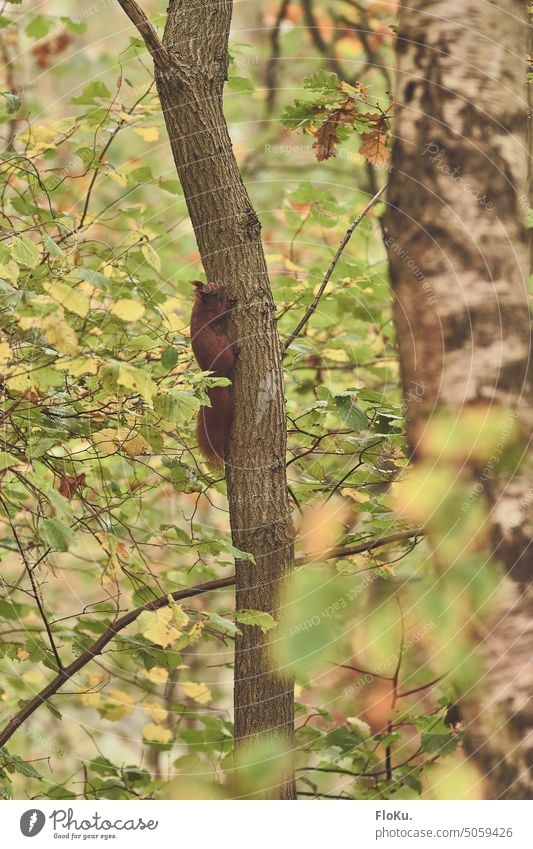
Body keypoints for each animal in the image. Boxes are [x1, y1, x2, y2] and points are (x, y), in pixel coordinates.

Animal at [188, 282, 236, 468]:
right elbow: (220, 313)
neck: (200, 306)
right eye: (214, 293)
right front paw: (230, 303)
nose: (224, 286)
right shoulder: (209, 316)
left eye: (214, 284)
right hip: (224, 345)